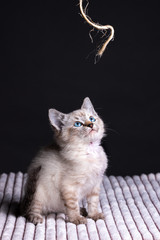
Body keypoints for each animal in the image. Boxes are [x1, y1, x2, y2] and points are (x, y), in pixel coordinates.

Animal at [21, 96, 108, 224]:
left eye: (92, 118)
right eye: (78, 124)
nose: (91, 125)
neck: (89, 151)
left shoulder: (95, 184)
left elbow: (93, 202)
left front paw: (94, 215)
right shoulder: (69, 187)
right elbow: (72, 206)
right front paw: (76, 219)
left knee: (61, 208)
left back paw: (82, 210)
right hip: (38, 192)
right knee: (32, 209)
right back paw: (36, 217)